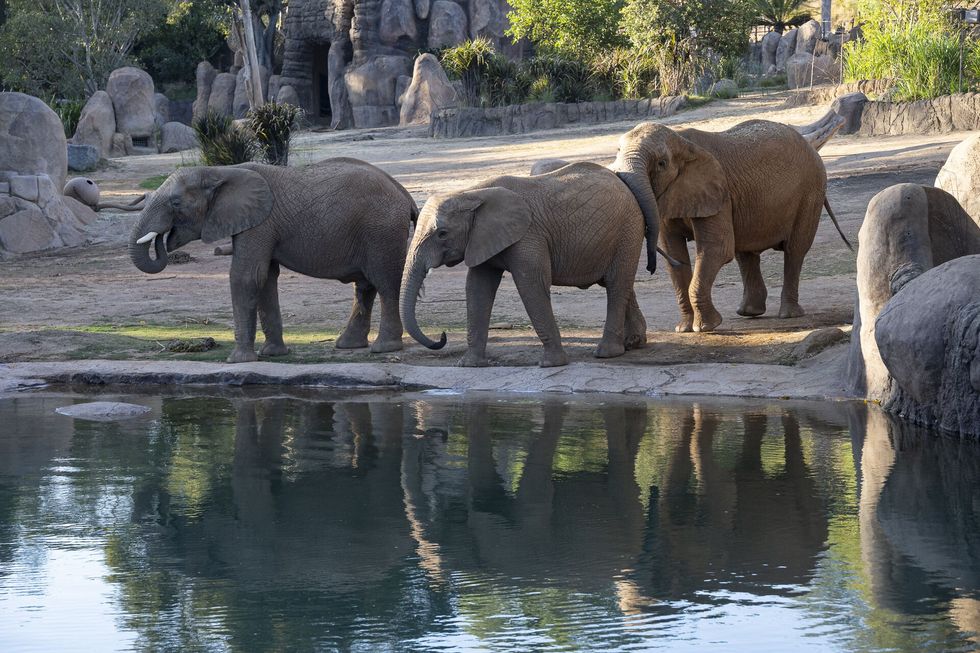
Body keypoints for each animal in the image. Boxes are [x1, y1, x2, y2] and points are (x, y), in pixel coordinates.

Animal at [129, 157, 418, 363]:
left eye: (176, 203)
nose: (162, 238)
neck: (220, 171)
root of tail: (405, 195)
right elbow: (265, 278)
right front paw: (271, 354)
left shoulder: (260, 224)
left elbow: (246, 276)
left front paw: (238, 361)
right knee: (365, 285)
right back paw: (348, 345)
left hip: (381, 229)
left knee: (385, 282)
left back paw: (383, 349)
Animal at [399, 162, 647, 367]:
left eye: (442, 234)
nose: (442, 336)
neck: (472, 193)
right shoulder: (481, 238)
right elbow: (477, 288)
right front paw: (469, 365)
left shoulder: (528, 235)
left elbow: (531, 286)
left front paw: (551, 364)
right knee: (618, 283)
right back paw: (633, 344)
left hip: (628, 228)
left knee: (616, 284)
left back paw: (607, 353)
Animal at [613, 119, 851, 333]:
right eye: (617, 153)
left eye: (661, 163)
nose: (649, 268)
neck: (680, 140)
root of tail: (811, 147)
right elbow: (674, 253)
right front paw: (684, 329)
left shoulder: (719, 193)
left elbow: (717, 249)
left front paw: (706, 327)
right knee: (745, 252)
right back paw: (749, 312)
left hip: (811, 191)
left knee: (795, 249)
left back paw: (789, 314)